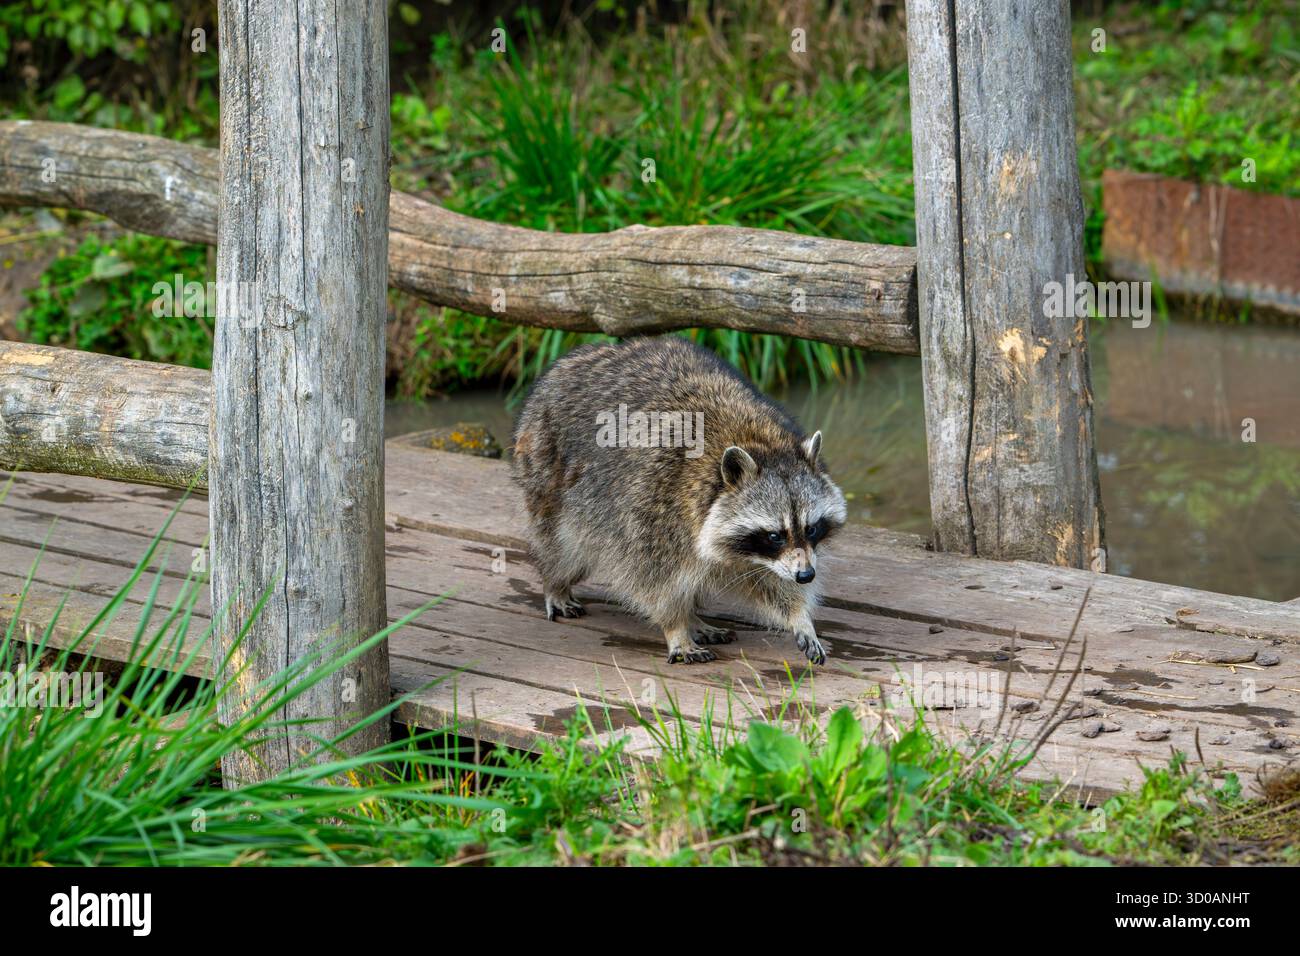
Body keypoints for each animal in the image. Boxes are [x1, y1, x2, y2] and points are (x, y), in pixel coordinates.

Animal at [511, 336, 847, 665]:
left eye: (812, 528)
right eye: (775, 535)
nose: (806, 575)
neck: (757, 441)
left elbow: (772, 581)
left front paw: (799, 616)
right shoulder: (654, 507)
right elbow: (654, 580)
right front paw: (675, 627)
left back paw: (695, 619)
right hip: (547, 469)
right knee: (563, 546)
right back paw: (555, 583)